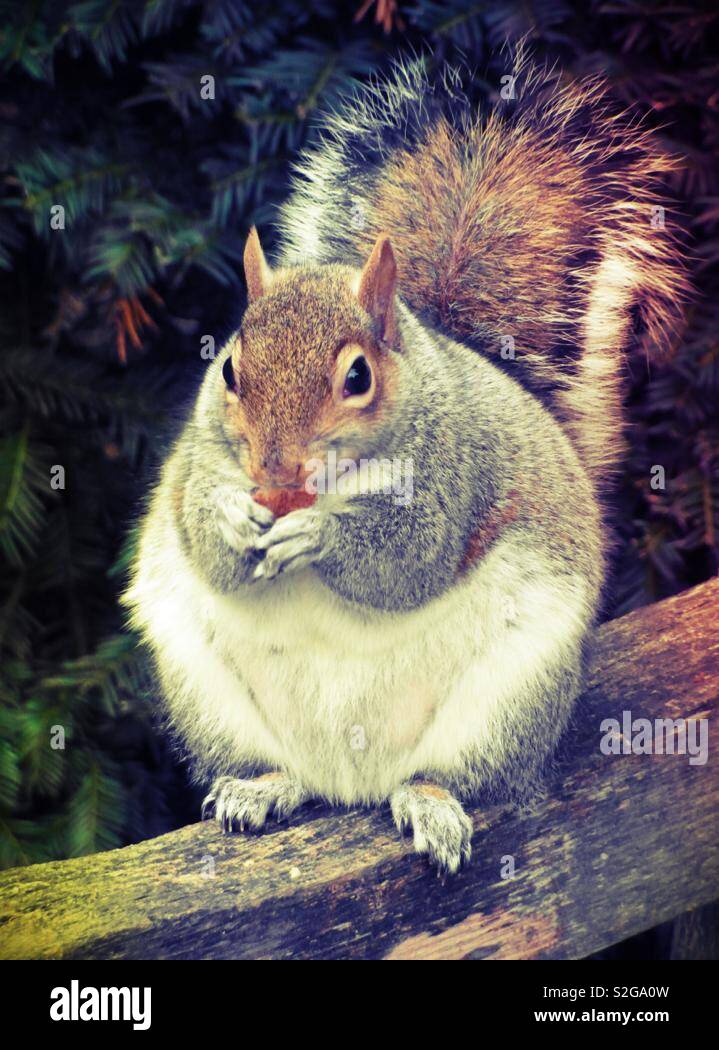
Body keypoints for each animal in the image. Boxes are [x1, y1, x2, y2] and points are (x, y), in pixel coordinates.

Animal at [124, 54, 687, 874]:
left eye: (358, 376)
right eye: (228, 368)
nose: (273, 471)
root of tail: (351, 779)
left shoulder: (457, 472)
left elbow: (410, 561)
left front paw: (320, 536)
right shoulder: (200, 463)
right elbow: (205, 541)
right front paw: (233, 518)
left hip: (507, 699)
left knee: (452, 774)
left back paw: (430, 804)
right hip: (208, 696)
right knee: (282, 770)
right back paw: (259, 788)